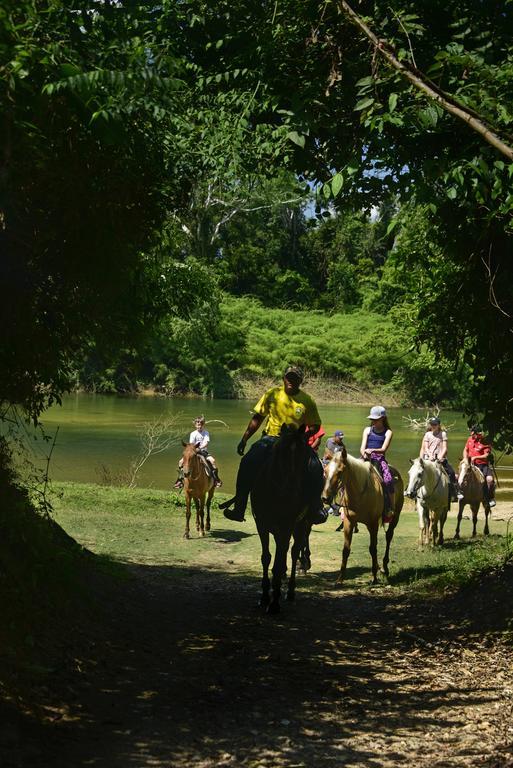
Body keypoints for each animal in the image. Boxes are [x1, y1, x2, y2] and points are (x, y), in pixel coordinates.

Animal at [248, 424, 316, 616]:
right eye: (280, 451)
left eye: (304, 454)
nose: (293, 488)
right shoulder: (262, 524)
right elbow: (266, 558)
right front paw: (264, 596)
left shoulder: (286, 526)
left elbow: (279, 563)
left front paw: (274, 603)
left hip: (300, 525)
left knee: (293, 552)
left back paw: (290, 591)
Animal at [322, 444, 402, 584]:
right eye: (325, 471)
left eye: (340, 471)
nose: (325, 498)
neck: (359, 493)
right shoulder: (348, 522)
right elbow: (346, 550)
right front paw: (340, 579)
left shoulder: (373, 524)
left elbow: (373, 548)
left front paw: (374, 577)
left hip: (395, 516)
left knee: (389, 536)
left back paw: (384, 568)